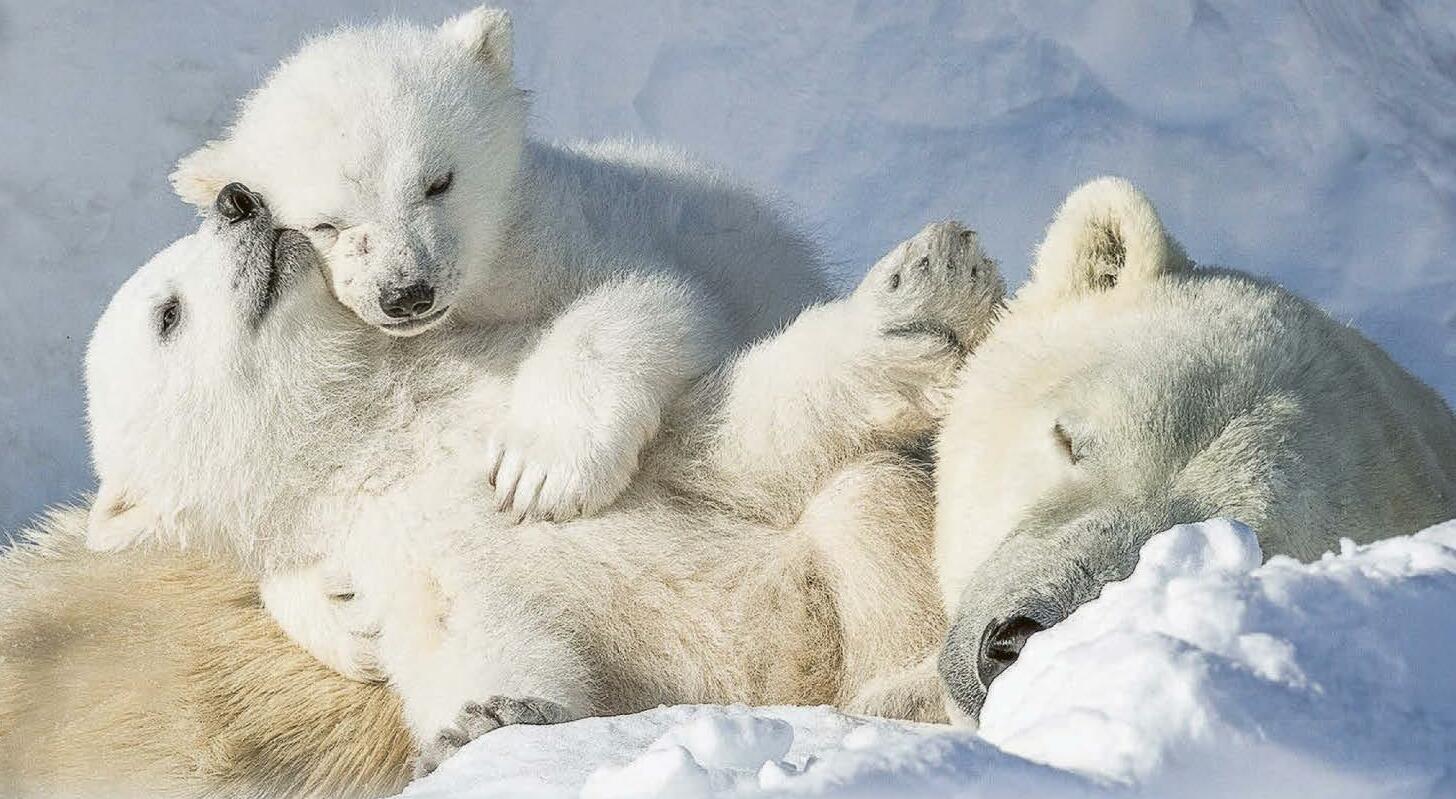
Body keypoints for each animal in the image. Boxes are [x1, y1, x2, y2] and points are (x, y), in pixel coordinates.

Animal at [78, 186, 1004, 779]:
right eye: (167, 312)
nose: (238, 199)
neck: (380, 433)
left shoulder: (502, 402)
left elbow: (721, 432)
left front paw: (927, 287)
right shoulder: (396, 550)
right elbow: (467, 633)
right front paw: (485, 723)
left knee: (863, 498)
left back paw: (905, 686)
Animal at [154, 6, 833, 527]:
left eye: (439, 181)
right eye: (324, 224)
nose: (407, 293)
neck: (489, 270)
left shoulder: (574, 232)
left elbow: (658, 299)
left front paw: (540, 469)